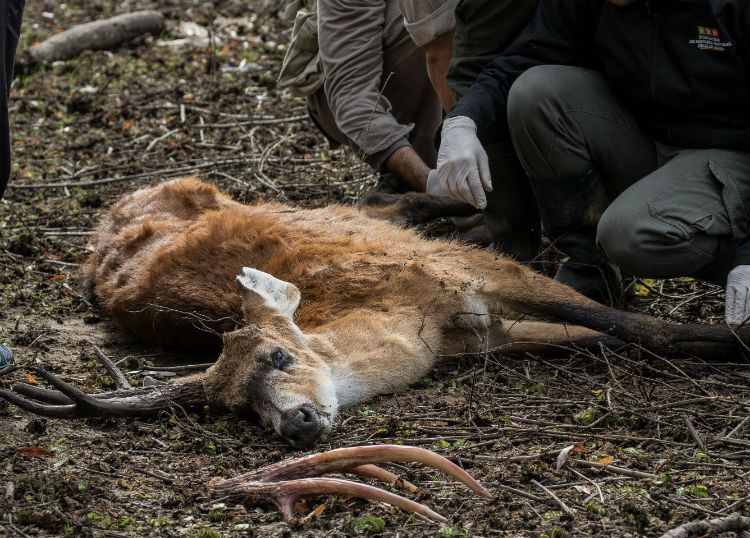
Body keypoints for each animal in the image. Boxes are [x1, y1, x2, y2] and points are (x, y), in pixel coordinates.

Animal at [2, 176, 748, 448]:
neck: (417, 319)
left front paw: (735, 339)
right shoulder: (486, 333)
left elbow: (638, 325)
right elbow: (597, 338)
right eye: (237, 408)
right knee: (379, 201)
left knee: (381, 201)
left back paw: (474, 203)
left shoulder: (474, 276)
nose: (296, 424)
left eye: (280, 354)